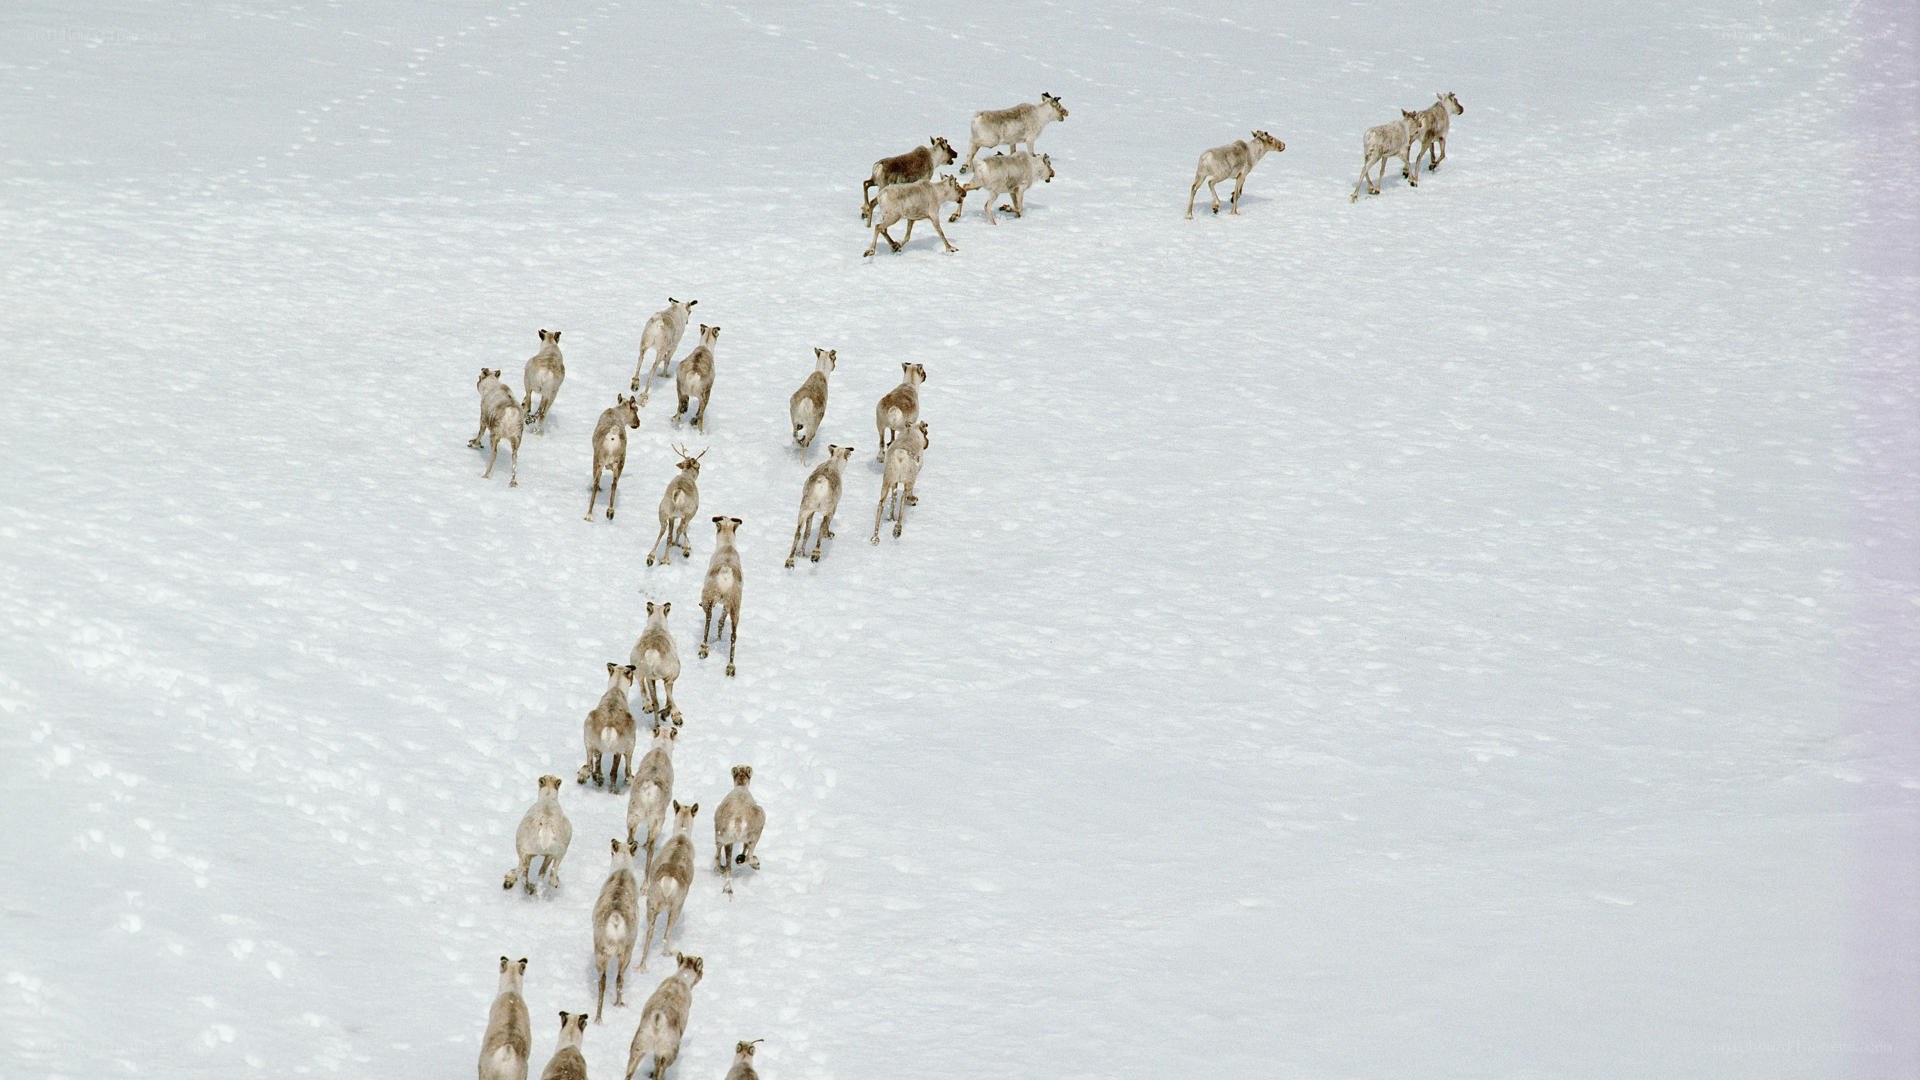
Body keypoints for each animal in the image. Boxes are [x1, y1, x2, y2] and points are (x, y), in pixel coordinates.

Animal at [578, 662, 638, 791]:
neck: (617, 687)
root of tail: (609, 727)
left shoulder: (598, 748)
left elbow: (598, 764)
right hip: (626, 747)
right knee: (622, 773)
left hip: (588, 741)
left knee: (589, 766)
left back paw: (586, 779)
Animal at [700, 516, 744, 677]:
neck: (727, 545)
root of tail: (725, 575)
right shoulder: (727, 605)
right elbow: (722, 620)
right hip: (735, 608)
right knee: (733, 636)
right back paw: (730, 667)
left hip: (709, 598)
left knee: (708, 621)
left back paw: (703, 649)